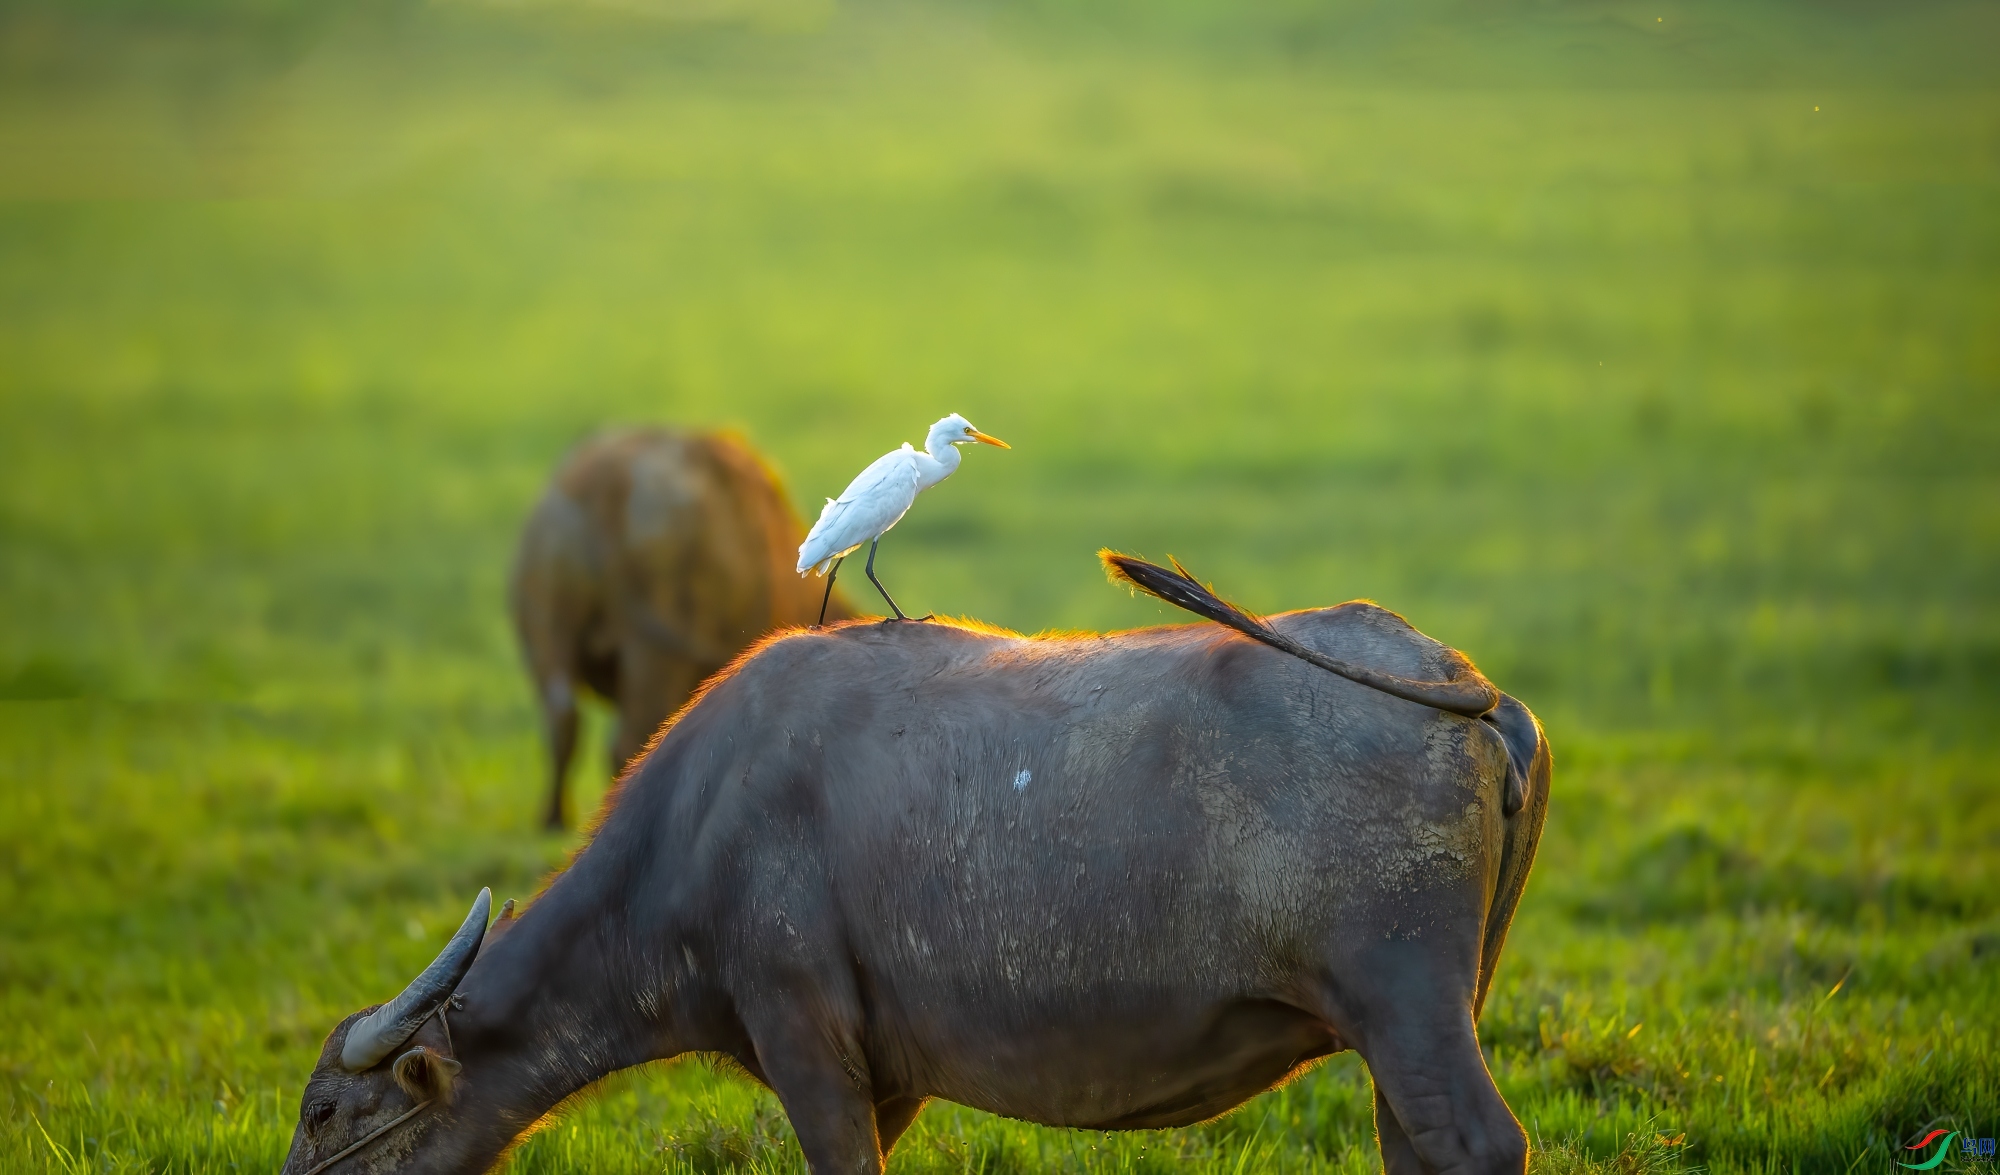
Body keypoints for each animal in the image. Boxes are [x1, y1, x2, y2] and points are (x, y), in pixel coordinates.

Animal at [290, 559, 1552, 1175]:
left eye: (325, 1111)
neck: (691, 832)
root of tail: (1467, 687)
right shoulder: (884, 1078)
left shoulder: (806, 1044)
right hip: (1410, 1024)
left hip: (1403, 1003)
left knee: (1478, 1144)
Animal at [508, 429, 852, 827]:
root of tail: (606, 482)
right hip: (652, 657)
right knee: (627, 742)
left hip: (547, 634)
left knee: (562, 721)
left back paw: (555, 818)